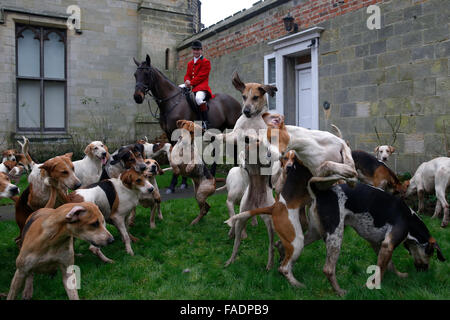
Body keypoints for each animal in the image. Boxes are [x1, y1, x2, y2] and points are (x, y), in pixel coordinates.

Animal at [133, 54, 243, 192]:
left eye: (147, 73)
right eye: (135, 74)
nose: (137, 97)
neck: (171, 102)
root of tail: (234, 100)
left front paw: (173, 185)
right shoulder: (169, 134)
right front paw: (182, 182)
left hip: (232, 128)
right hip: (216, 131)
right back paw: (213, 175)